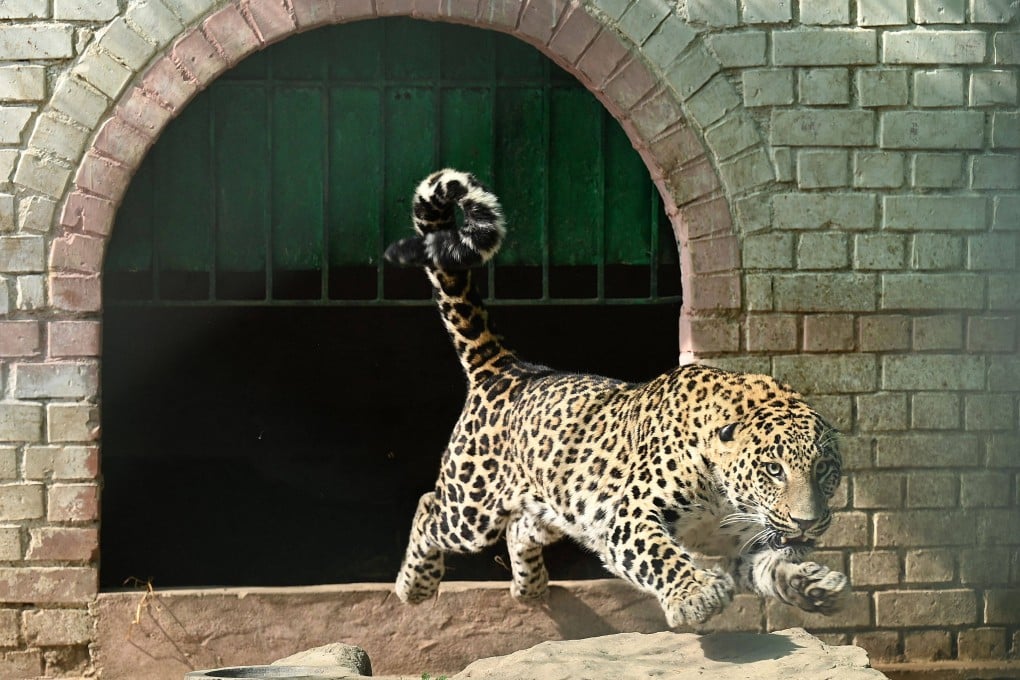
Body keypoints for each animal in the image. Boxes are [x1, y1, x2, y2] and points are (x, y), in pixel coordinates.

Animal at [384, 168, 850, 627]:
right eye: (773, 469)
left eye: (824, 469)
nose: (807, 523)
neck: (725, 497)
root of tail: (509, 369)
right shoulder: (629, 516)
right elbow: (660, 554)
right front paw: (695, 595)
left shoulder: (739, 543)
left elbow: (772, 563)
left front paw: (813, 584)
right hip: (472, 508)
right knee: (430, 508)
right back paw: (413, 586)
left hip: (555, 507)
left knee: (520, 529)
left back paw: (529, 588)